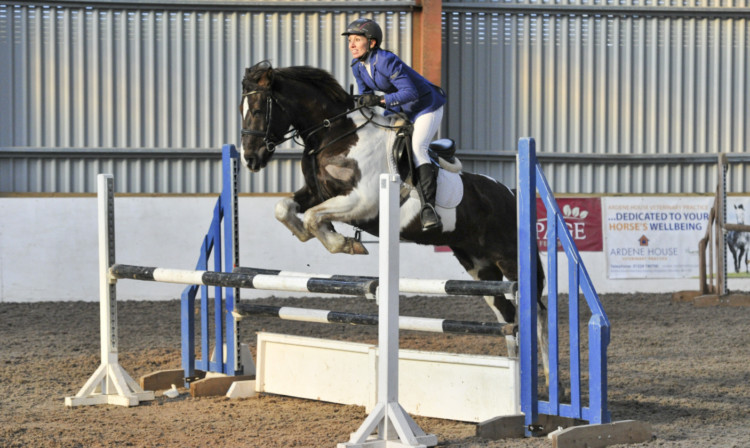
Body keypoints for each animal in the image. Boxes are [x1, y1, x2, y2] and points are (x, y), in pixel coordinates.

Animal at [241, 60, 552, 384]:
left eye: (259, 109)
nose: (250, 159)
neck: (335, 134)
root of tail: (511, 193)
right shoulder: (317, 193)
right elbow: (285, 208)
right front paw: (314, 234)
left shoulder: (362, 201)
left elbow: (315, 216)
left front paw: (344, 243)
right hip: (479, 266)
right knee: (507, 313)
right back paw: (514, 367)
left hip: (510, 258)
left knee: (535, 311)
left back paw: (545, 375)